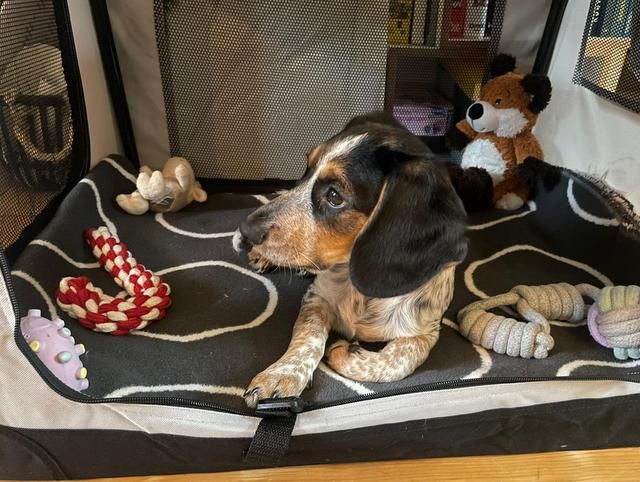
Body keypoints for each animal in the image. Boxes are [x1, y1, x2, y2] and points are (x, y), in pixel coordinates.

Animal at [236, 111, 467, 408]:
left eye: (334, 196)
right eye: (306, 170)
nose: (246, 230)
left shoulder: (425, 331)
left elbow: (397, 362)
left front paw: (346, 353)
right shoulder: (316, 299)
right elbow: (308, 337)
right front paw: (281, 374)